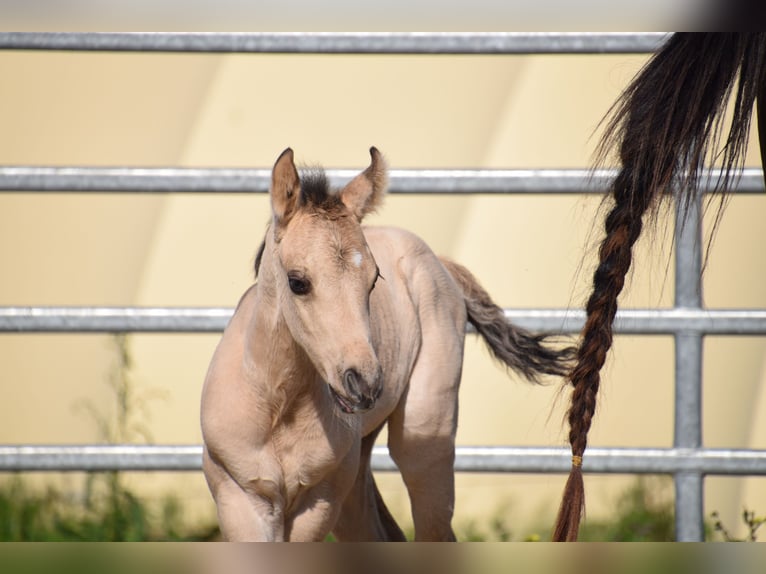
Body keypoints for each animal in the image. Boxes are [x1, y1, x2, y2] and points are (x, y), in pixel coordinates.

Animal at [201, 147, 575, 541]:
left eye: (373, 279)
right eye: (297, 282)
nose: (363, 382)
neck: (278, 406)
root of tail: (437, 261)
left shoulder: (318, 502)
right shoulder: (241, 499)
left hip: (422, 442)